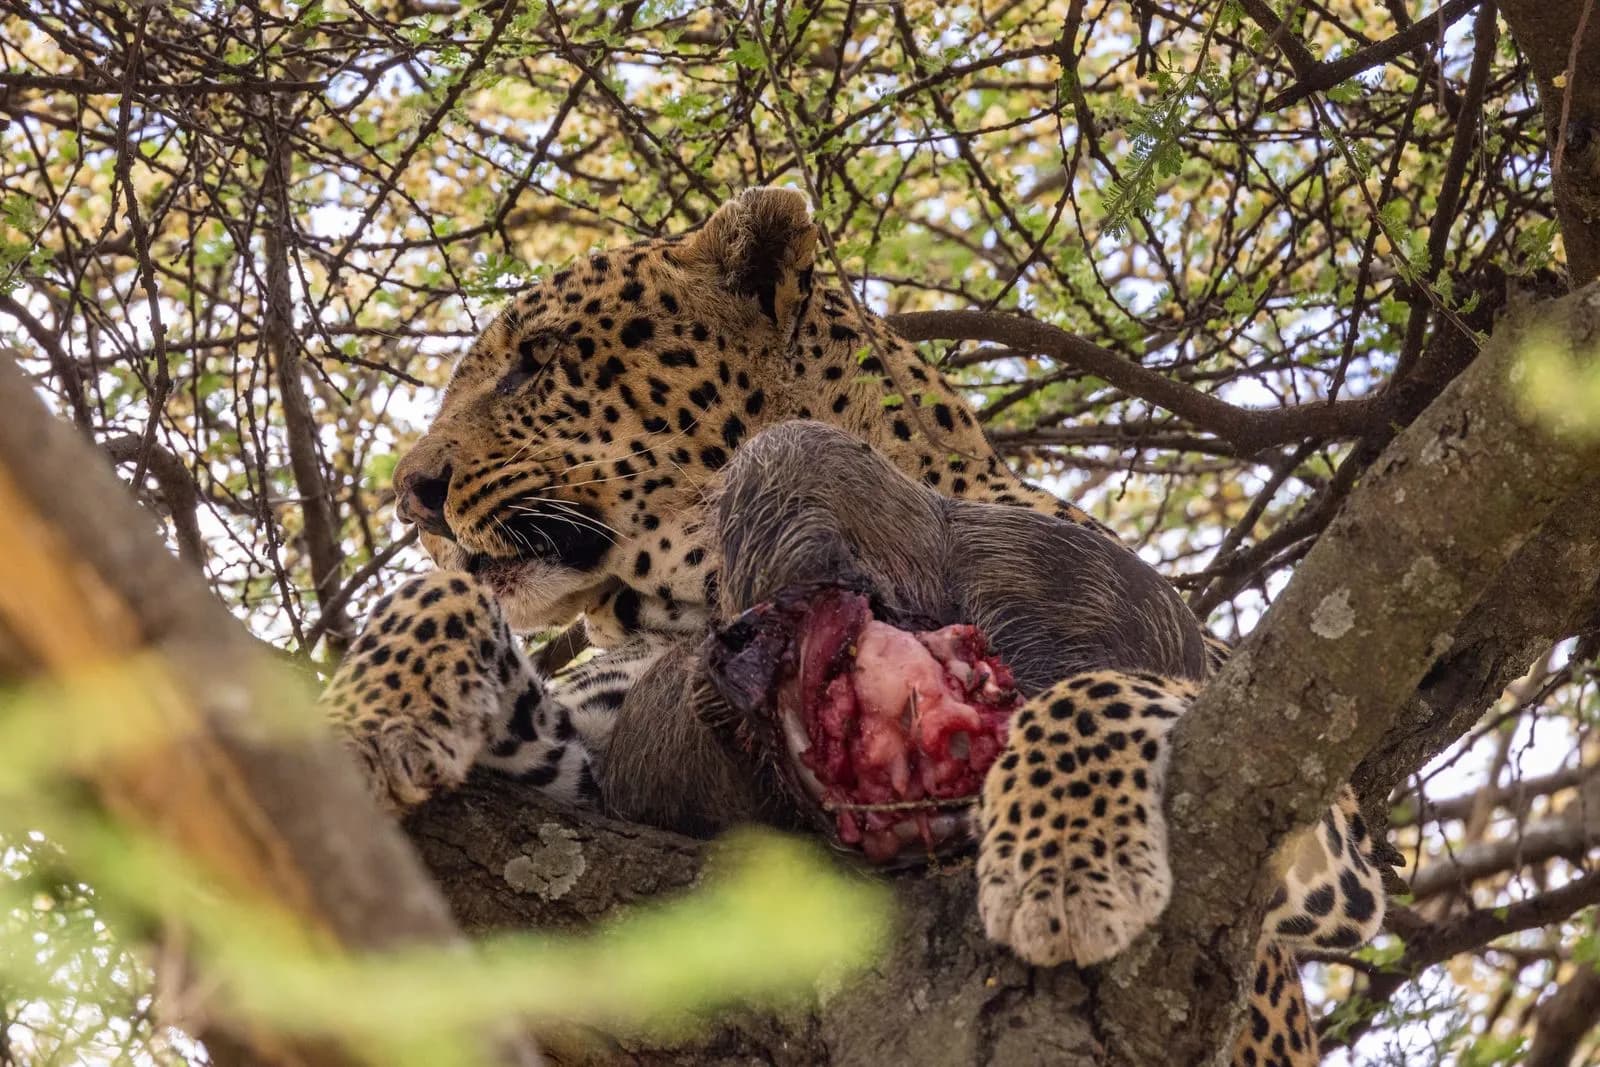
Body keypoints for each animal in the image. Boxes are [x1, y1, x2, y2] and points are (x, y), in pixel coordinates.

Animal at [321, 187, 1386, 1066]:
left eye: (538, 362)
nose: (412, 496)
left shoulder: (1315, 812)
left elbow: (1106, 686)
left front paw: (1066, 862)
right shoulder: (599, 766)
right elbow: (441, 606)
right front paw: (363, 720)